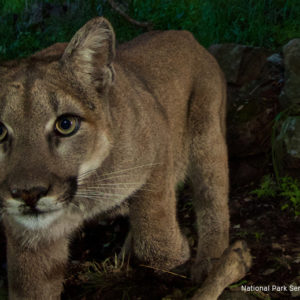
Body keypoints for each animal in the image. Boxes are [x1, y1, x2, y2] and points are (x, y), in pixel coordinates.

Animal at [0, 17, 243, 298]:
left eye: (66, 124)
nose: (28, 193)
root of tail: (184, 33)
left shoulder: (157, 144)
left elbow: (155, 225)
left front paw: (175, 256)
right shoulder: (28, 237)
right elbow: (32, 286)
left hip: (207, 136)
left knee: (212, 199)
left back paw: (212, 260)